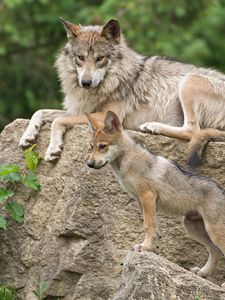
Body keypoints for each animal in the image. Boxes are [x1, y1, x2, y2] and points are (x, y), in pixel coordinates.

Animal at [18, 17, 225, 164]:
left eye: (100, 58)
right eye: (80, 57)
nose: (86, 82)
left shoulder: (103, 116)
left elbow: (57, 121)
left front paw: (53, 149)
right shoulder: (80, 110)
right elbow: (40, 112)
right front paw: (28, 135)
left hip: (188, 80)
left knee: (192, 130)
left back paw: (152, 127)